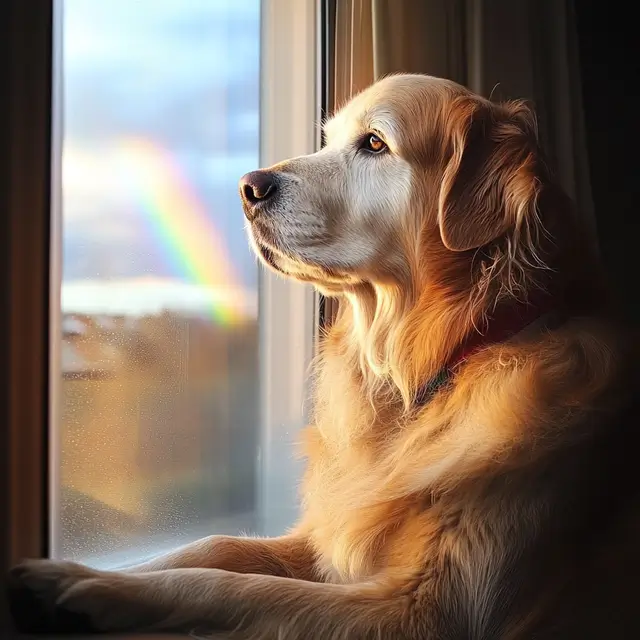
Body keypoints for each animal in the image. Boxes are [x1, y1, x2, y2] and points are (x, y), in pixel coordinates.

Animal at [6, 74, 640, 636]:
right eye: (329, 139)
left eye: (375, 143)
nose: (248, 186)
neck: (434, 369)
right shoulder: (327, 539)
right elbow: (215, 544)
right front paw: (84, 572)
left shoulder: (430, 611)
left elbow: (230, 586)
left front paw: (96, 588)